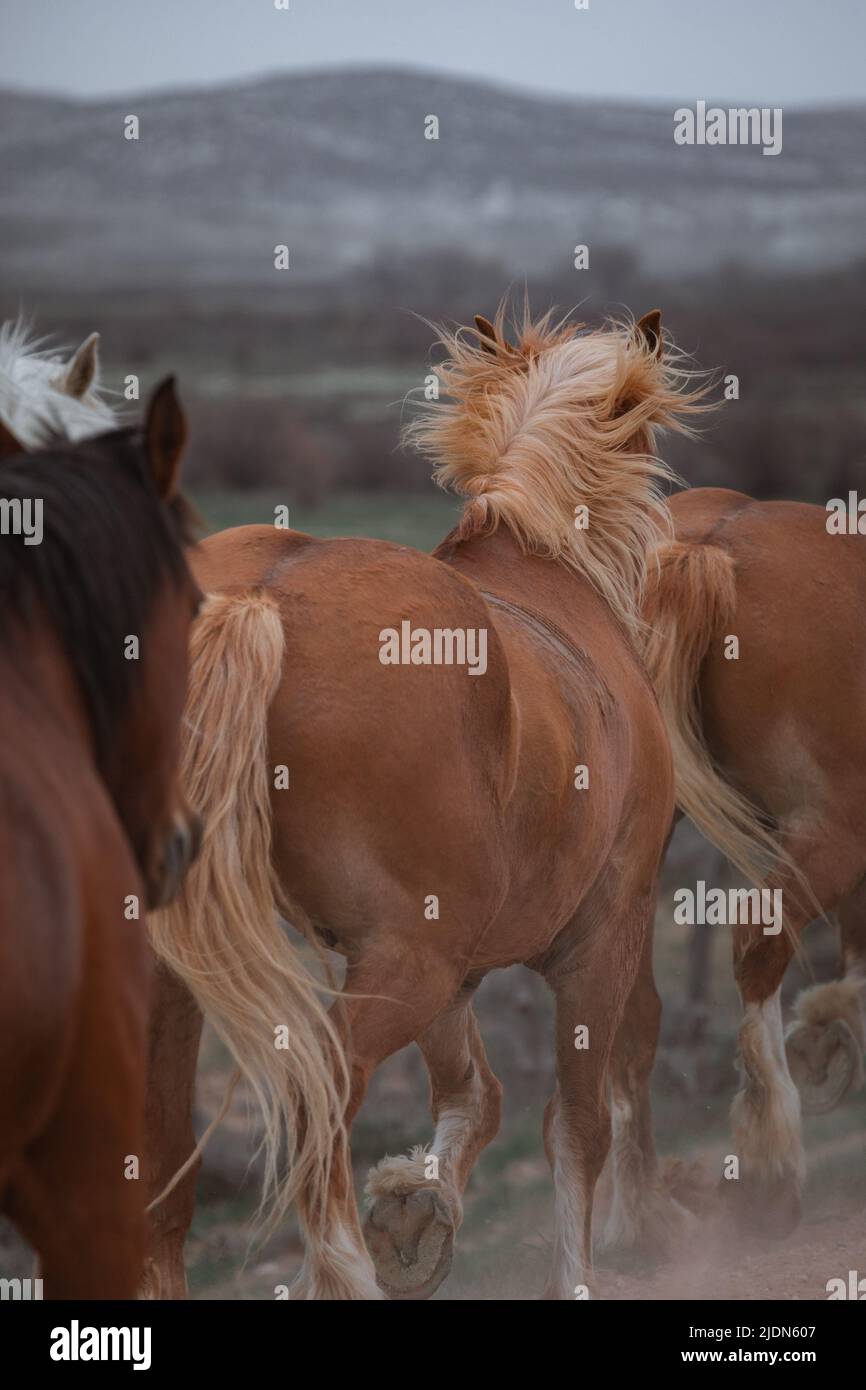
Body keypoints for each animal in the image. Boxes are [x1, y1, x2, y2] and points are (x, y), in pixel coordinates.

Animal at [142, 306, 710, 1300]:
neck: (555, 578)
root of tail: (259, 598)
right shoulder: (600, 937)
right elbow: (577, 1129)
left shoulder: (460, 974)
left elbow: (475, 1099)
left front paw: (417, 1208)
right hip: (404, 965)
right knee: (319, 1099)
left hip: (199, 974)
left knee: (168, 1165)